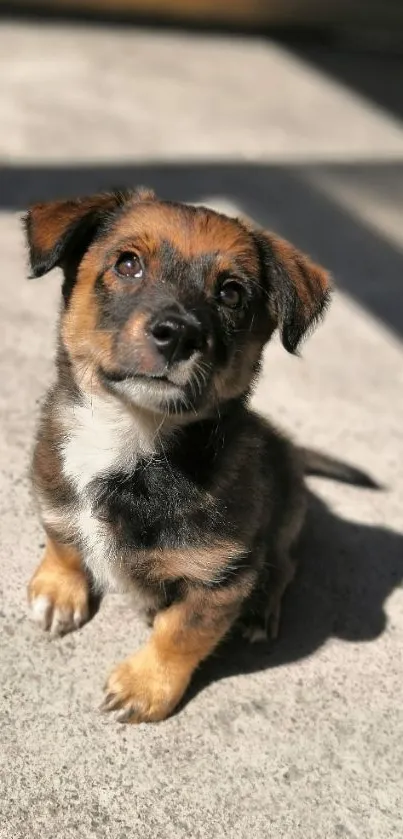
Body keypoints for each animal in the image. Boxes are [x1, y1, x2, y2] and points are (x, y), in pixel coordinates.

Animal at [23, 189, 332, 720]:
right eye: (128, 264)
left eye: (231, 293)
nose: (179, 334)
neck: (130, 437)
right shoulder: (54, 495)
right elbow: (61, 541)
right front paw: (58, 591)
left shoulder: (221, 579)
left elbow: (180, 634)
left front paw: (144, 686)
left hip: (289, 514)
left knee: (285, 563)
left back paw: (261, 609)